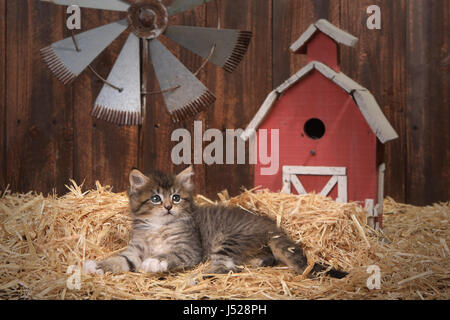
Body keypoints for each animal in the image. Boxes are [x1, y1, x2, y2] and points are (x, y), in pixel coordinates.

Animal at [82, 166, 346, 278]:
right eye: (156, 198)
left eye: (176, 198)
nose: (168, 207)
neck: (159, 228)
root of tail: (271, 226)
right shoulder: (134, 250)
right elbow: (119, 259)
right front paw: (96, 266)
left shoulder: (189, 250)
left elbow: (168, 255)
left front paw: (155, 262)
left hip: (228, 239)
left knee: (225, 267)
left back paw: (196, 278)